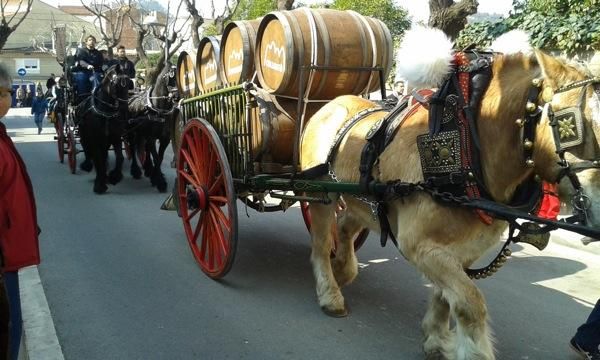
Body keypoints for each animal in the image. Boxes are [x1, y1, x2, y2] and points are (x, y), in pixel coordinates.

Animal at [77, 64, 131, 194]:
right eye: (117, 84)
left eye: (129, 83)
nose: (125, 110)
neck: (105, 112)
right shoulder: (95, 139)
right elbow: (98, 159)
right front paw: (99, 185)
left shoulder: (115, 137)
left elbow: (119, 157)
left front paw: (114, 177)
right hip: (84, 135)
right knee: (88, 150)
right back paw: (88, 166)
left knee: (104, 155)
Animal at [126, 63, 178, 193]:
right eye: (170, 77)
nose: (177, 96)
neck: (158, 109)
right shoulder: (151, 137)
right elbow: (156, 157)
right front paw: (160, 182)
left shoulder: (165, 138)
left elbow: (159, 158)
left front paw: (155, 177)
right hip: (132, 132)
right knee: (133, 147)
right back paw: (136, 170)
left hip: (141, 133)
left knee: (144, 148)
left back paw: (148, 169)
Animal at [300, 28, 600, 360]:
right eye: (573, 124)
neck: (468, 150)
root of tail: (331, 103)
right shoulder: (419, 245)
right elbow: (470, 303)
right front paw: (473, 351)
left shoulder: (466, 248)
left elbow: (448, 297)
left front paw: (436, 338)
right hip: (321, 193)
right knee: (321, 241)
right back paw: (330, 292)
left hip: (362, 200)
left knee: (345, 226)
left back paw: (343, 270)